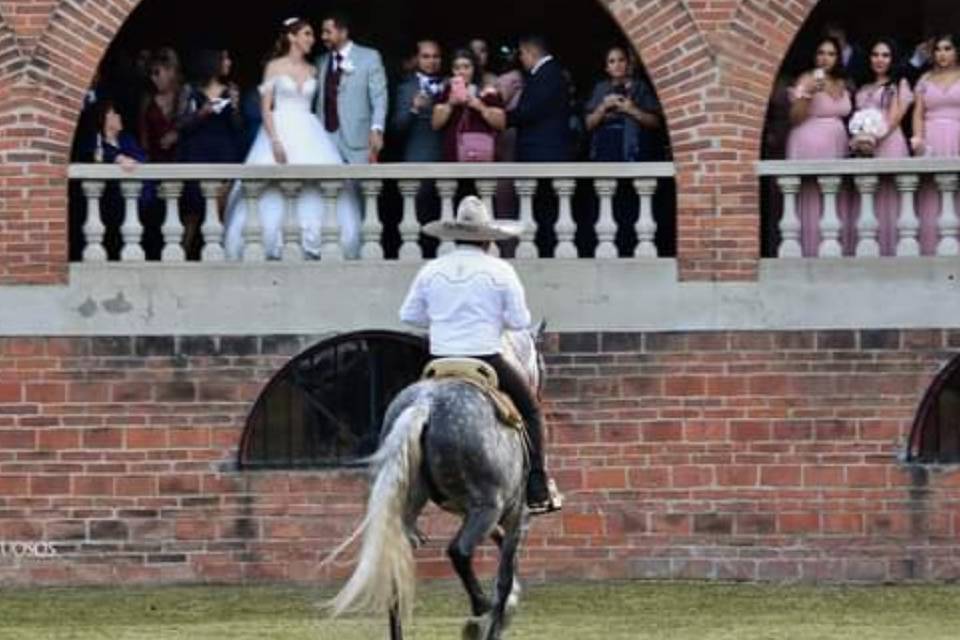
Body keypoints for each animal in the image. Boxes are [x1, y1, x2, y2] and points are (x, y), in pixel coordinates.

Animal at [324, 324, 544, 640]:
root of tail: (425, 405)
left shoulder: (480, 514)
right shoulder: (515, 515)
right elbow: (504, 575)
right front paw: (494, 620)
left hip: (409, 512)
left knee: (395, 576)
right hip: (487, 508)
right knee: (459, 552)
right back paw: (480, 608)